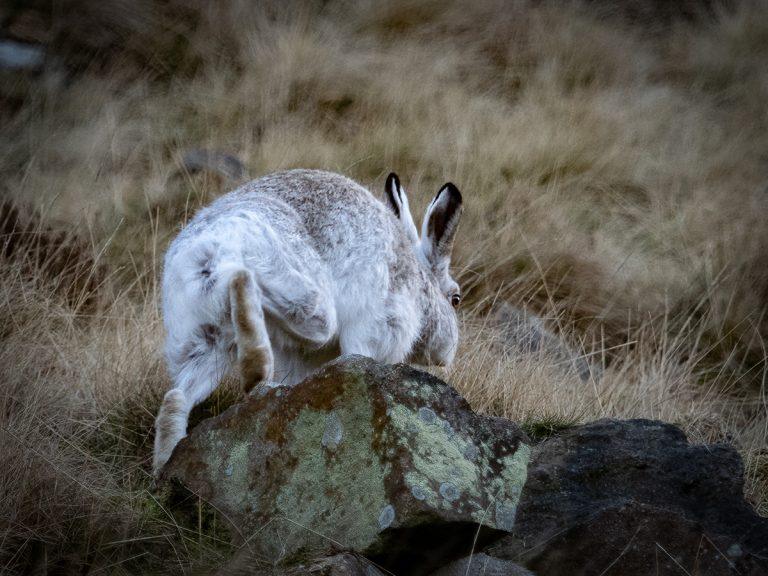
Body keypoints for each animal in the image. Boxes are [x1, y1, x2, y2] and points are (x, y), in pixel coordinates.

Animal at [153, 169, 463, 475]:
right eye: (456, 299)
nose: (449, 354)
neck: (421, 286)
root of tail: (204, 251)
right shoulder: (377, 329)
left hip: (205, 336)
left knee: (176, 398)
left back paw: (164, 468)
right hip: (305, 296)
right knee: (246, 279)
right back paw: (257, 368)